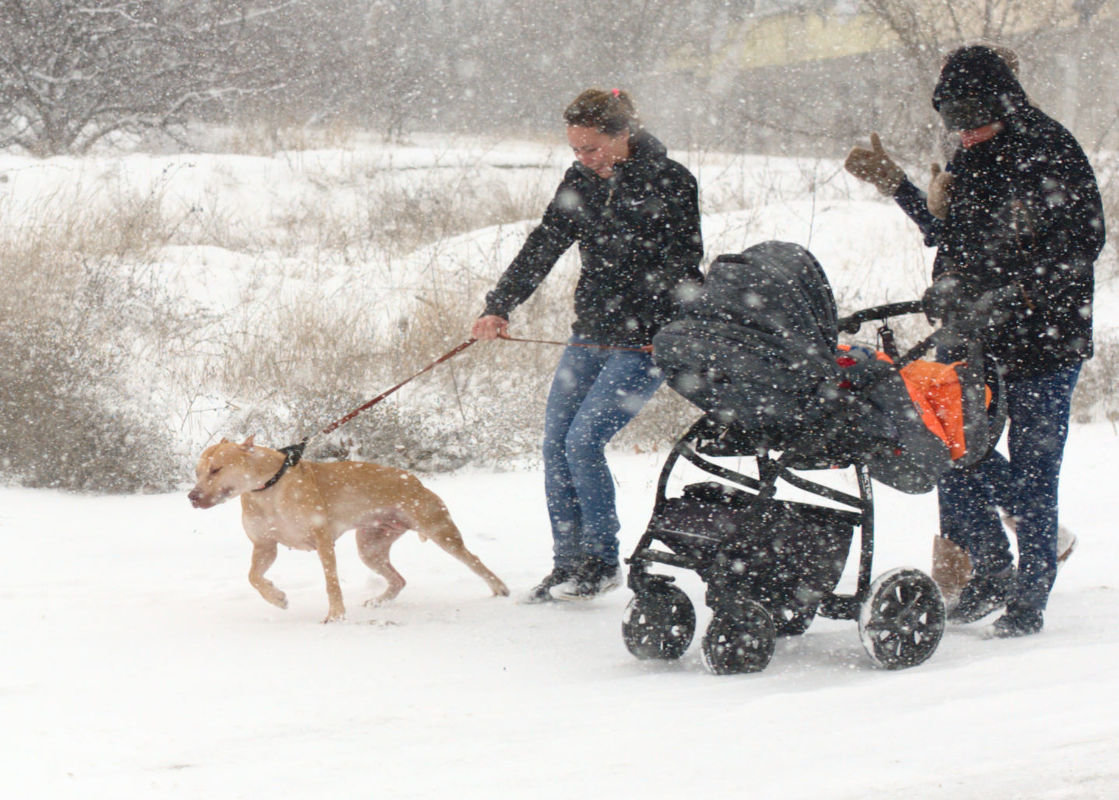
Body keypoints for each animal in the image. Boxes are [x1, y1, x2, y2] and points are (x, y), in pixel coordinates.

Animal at [189, 438, 512, 617]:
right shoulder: (264, 546)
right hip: (370, 547)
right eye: (197, 472)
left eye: (216, 469)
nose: (192, 496)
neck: (268, 488)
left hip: (440, 531)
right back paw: (379, 601)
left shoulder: (322, 541)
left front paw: (336, 616)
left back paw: (500, 588)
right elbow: (254, 577)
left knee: (473, 561)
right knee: (398, 580)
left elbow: (332, 583)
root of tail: (416, 481)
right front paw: (276, 597)